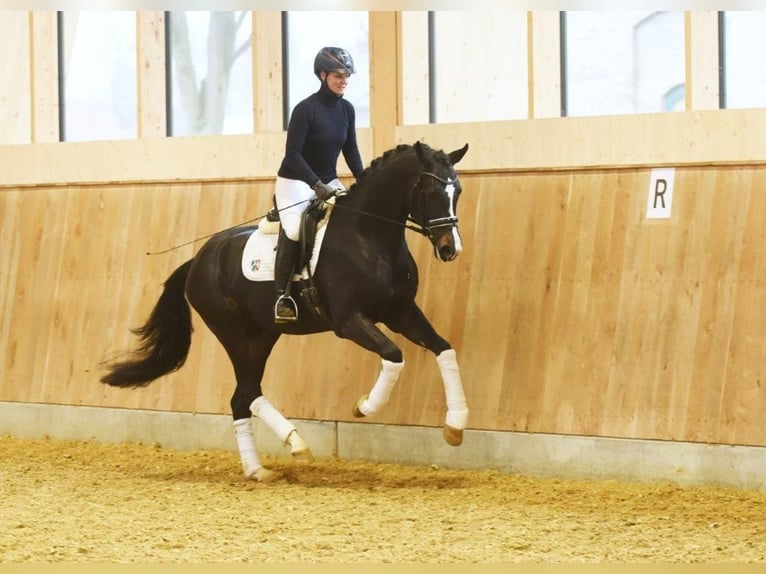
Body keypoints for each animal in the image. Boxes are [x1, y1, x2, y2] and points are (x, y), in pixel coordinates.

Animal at [100, 142, 474, 484]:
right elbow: (394, 355)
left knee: (242, 395)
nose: (450, 249)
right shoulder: (349, 321)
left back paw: (258, 469)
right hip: (231, 330)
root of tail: (198, 259)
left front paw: (455, 426)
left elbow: (445, 349)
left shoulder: (401, 313)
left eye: (457, 191)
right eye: (430, 191)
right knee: (248, 391)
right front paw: (365, 406)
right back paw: (296, 445)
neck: (369, 238)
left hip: (263, 334)